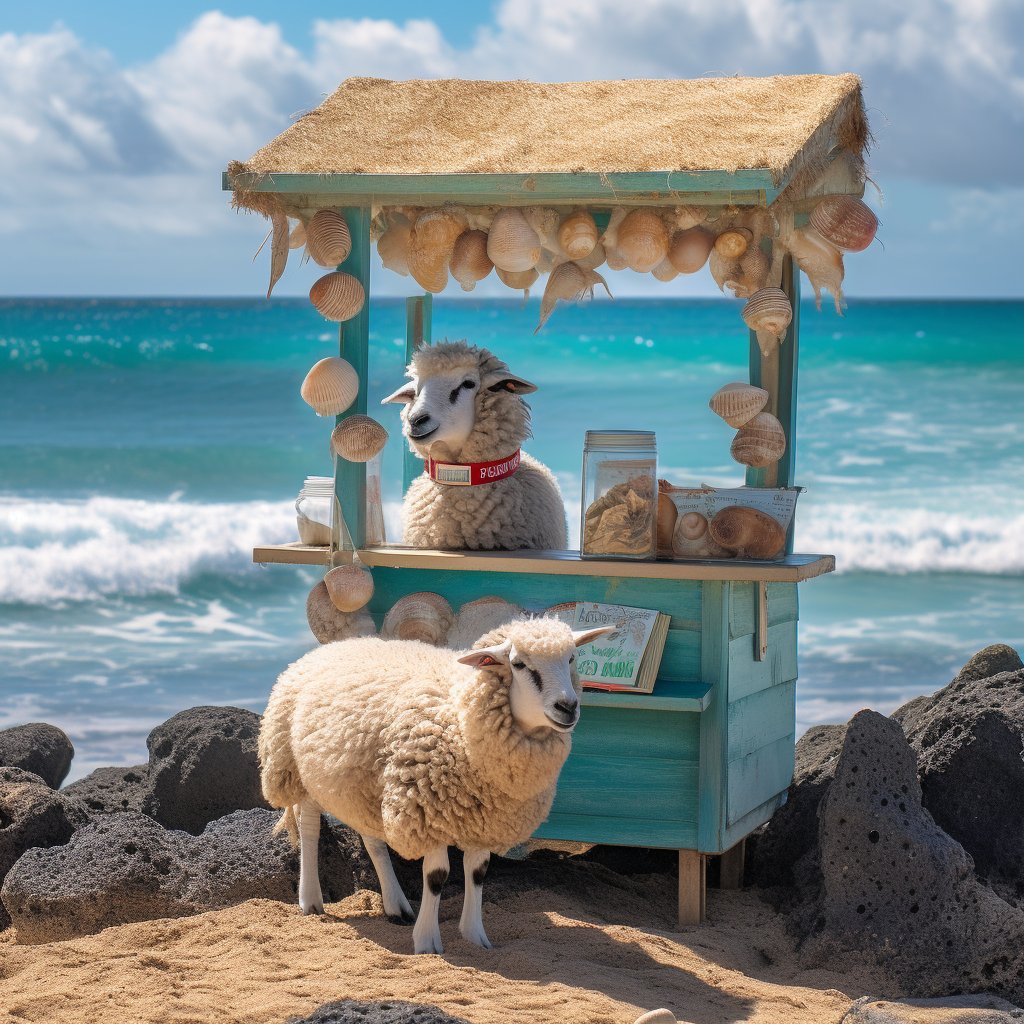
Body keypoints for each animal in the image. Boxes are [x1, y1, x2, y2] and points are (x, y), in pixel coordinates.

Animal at [258, 616, 612, 954]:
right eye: (518, 664)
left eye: (571, 658)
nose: (567, 707)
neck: (460, 717)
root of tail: (332, 646)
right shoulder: (424, 808)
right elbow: (437, 877)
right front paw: (427, 941)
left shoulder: (486, 817)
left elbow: (478, 872)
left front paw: (475, 936)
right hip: (293, 767)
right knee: (309, 827)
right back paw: (310, 899)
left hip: (363, 785)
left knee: (372, 839)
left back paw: (395, 905)